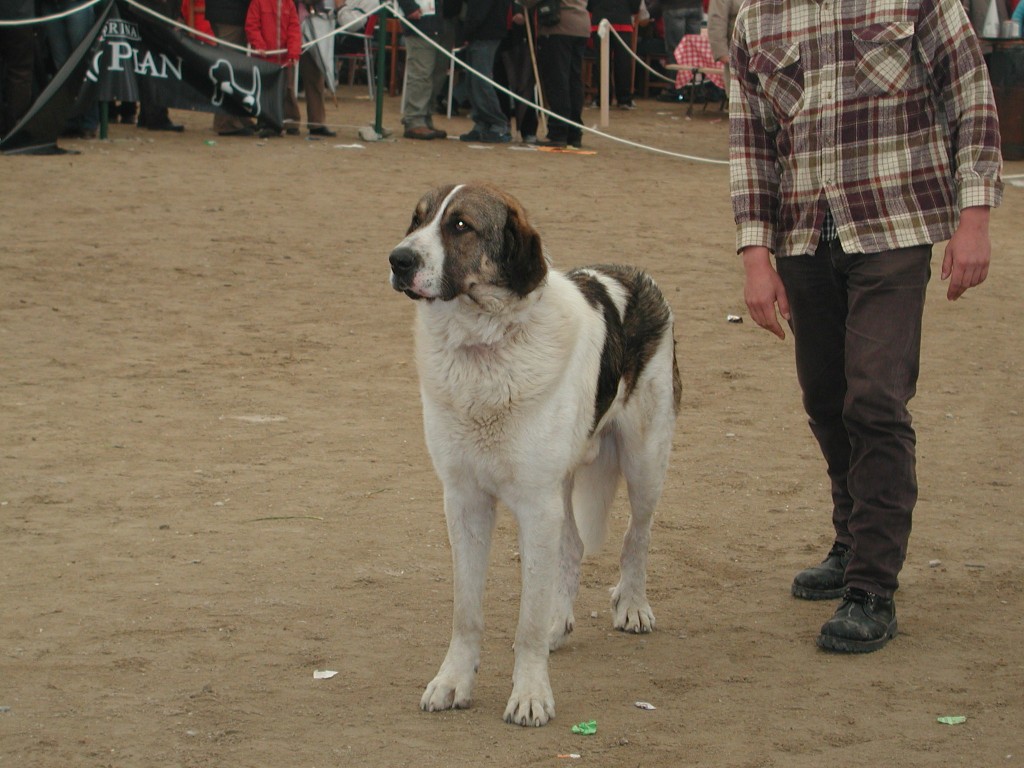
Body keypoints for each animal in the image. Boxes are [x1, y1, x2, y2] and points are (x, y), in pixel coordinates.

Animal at [389, 185, 679, 729]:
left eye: (460, 226)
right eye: (416, 221)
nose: (397, 259)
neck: (483, 345)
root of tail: (633, 273)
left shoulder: (534, 506)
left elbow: (525, 619)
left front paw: (530, 695)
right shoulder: (464, 500)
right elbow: (466, 611)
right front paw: (453, 682)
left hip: (645, 461)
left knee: (637, 536)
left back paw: (632, 606)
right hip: (565, 483)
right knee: (573, 546)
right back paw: (558, 624)